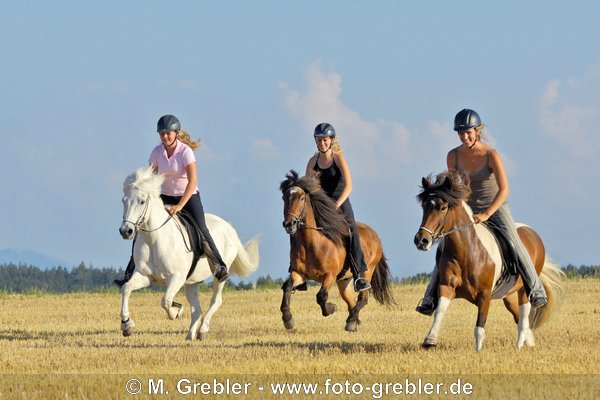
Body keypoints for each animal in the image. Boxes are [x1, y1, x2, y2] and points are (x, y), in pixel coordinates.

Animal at [118, 166, 258, 340]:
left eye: (142, 201)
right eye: (123, 201)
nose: (126, 231)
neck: (154, 240)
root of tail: (230, 228)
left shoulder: (176, 277)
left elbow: (165, 301)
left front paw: (176, 311)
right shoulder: (145, 276)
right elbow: (126, 288)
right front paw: (127, 325)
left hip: (219, 276)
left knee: (215, 301)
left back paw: (202, 330)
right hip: (192, 282)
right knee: (196, 310)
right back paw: (190, 336)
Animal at [280, 169, 396, 332]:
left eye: (302, 198)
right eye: (284, 197)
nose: (289, 224)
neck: (313, 243)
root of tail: (374, 235)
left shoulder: (329, 275)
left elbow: (321, 296)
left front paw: (331, 308)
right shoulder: (300, 273)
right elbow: (287, 287)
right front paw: (288, 319)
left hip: (367, 271)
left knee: (363, 298)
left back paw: (351, 321)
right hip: (344, 280)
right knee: (351, 300)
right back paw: (353, 320)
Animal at [412, 171, 564, 350]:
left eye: (443, 208)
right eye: (424, 206)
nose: (421, 240)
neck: (467, 251)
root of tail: (532, 232)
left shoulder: (484, 295)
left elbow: (479, 327)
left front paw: (478, 351)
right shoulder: (446, 286)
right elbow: (440, 311)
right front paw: (430, 340)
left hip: (524, 290)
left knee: (524, 315)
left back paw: (519, 346)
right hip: (508, 295)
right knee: (518, 317)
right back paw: (529, 343)